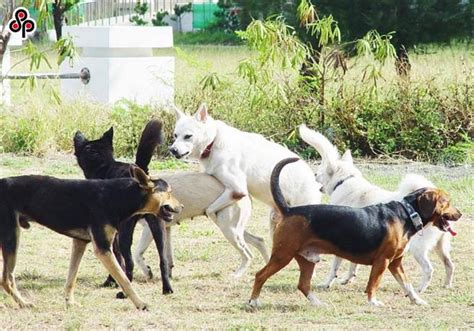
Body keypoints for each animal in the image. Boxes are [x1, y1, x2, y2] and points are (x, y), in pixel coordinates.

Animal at [0, 169, 181, 312]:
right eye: (169, 192)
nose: (182, 207)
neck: (119, 196)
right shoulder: (103, 249)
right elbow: (124, 280)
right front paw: (140, 303)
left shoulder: (79, 243)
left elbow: (71, 279)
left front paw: (70, 303)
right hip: (11, 238)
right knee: (7, 280)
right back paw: (24, 303)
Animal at [168, 105, 320, 232]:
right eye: (175, 135)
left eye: (188, 136)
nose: (172, 150)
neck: (213, 142)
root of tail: (313, 179)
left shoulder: (238, 189)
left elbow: (209, 210)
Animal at [248, 158, 462, 308]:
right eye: (447, 202)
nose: (460, 214)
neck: (408, 213)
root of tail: (289, 210)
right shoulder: (383, 261)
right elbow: (373, 284)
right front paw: (373, 302)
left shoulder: (395, 263)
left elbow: (407, 285)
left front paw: (417, 300)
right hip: (282, 256)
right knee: (260, 275)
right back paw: (253, 302)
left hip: (308, 260)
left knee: (303, 285)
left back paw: (318, 303)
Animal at [298, 124, 458, 294]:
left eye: (319, 172)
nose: (314, 175)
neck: (345, 181)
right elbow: (353, 264)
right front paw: (348, 279)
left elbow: (334, 267)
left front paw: (326, 283)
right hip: (440, 247)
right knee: (449, 264)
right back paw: (447, 285)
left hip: (417, 248)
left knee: (429, 269)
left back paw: (419, 289)